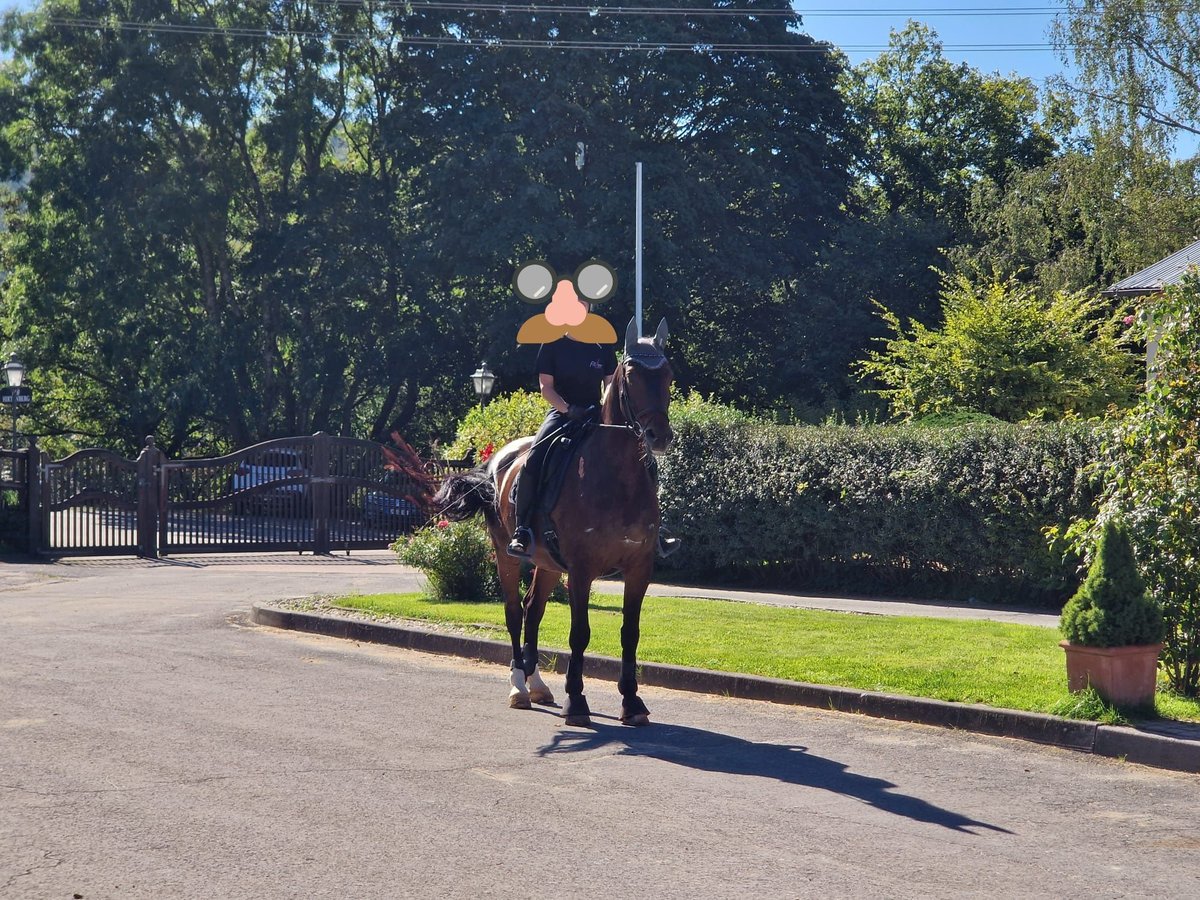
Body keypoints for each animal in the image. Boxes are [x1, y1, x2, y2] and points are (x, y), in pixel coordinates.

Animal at [432, 321, 676, 729]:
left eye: (668, 375)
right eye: (631, 374)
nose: (659, 435)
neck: (617, 476)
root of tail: (496, 460)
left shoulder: (639, 567)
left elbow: (630, 633)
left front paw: (632, 701)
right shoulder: (581, 568)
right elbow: (579, 633)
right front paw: (576, 701)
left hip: (546, 564)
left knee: (533, 610)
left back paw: (537, 685)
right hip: (507, 556)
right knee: (514, 613)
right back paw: (519, 687)